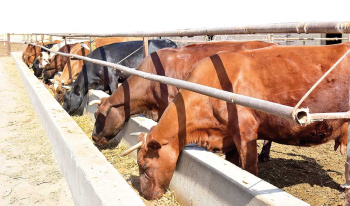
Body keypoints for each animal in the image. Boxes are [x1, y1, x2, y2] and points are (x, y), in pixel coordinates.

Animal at [126, 42, 350, 200]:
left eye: (144, 165)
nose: (144, 195)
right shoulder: (229, 137)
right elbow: (233, 164)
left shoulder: (245, 133)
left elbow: (249, 170)